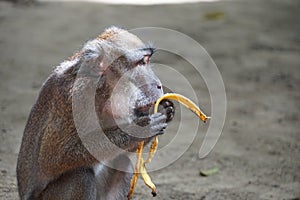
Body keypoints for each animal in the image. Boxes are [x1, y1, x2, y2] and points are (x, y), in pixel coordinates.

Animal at [16, 27, 175, 200]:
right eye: (142, 62)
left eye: (147, 61)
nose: (159, 85)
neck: (103, 88)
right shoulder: (78, 96)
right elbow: (52, 158)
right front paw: (141, 128)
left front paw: (165, 110)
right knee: (80, 177)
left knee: (122, 162)